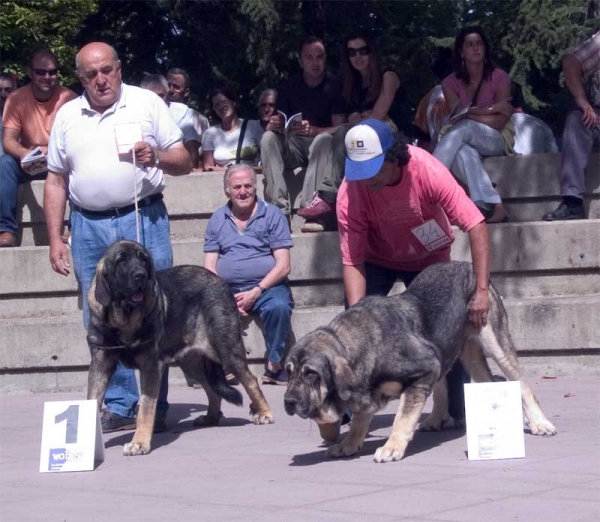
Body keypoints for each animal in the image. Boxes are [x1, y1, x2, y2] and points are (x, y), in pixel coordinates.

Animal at [86, 240, 274, 456]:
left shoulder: (151, 366)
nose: (140, 275)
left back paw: (264, 412)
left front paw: (139, 443)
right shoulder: (100, 365)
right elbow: (92, 399)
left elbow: (146, 408)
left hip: (227, 350)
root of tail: (219, 280)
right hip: (191, 363)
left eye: (143, 259)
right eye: (121, 260)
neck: (123, 318)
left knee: (250, 380)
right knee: (212, 389)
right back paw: (211, 417)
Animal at [284, 262, 556, 462]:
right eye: (289, 372)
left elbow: (402, 417)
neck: (362, 346)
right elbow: (360, 418)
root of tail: (468, 266)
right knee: (451, 384)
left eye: (310, 373)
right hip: (457, 352)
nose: (288, 401)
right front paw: (349, 442)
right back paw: (436, 419)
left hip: (494, 342)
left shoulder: (423, 370)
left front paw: (392, 447)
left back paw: (540, 423)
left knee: (521, 384)